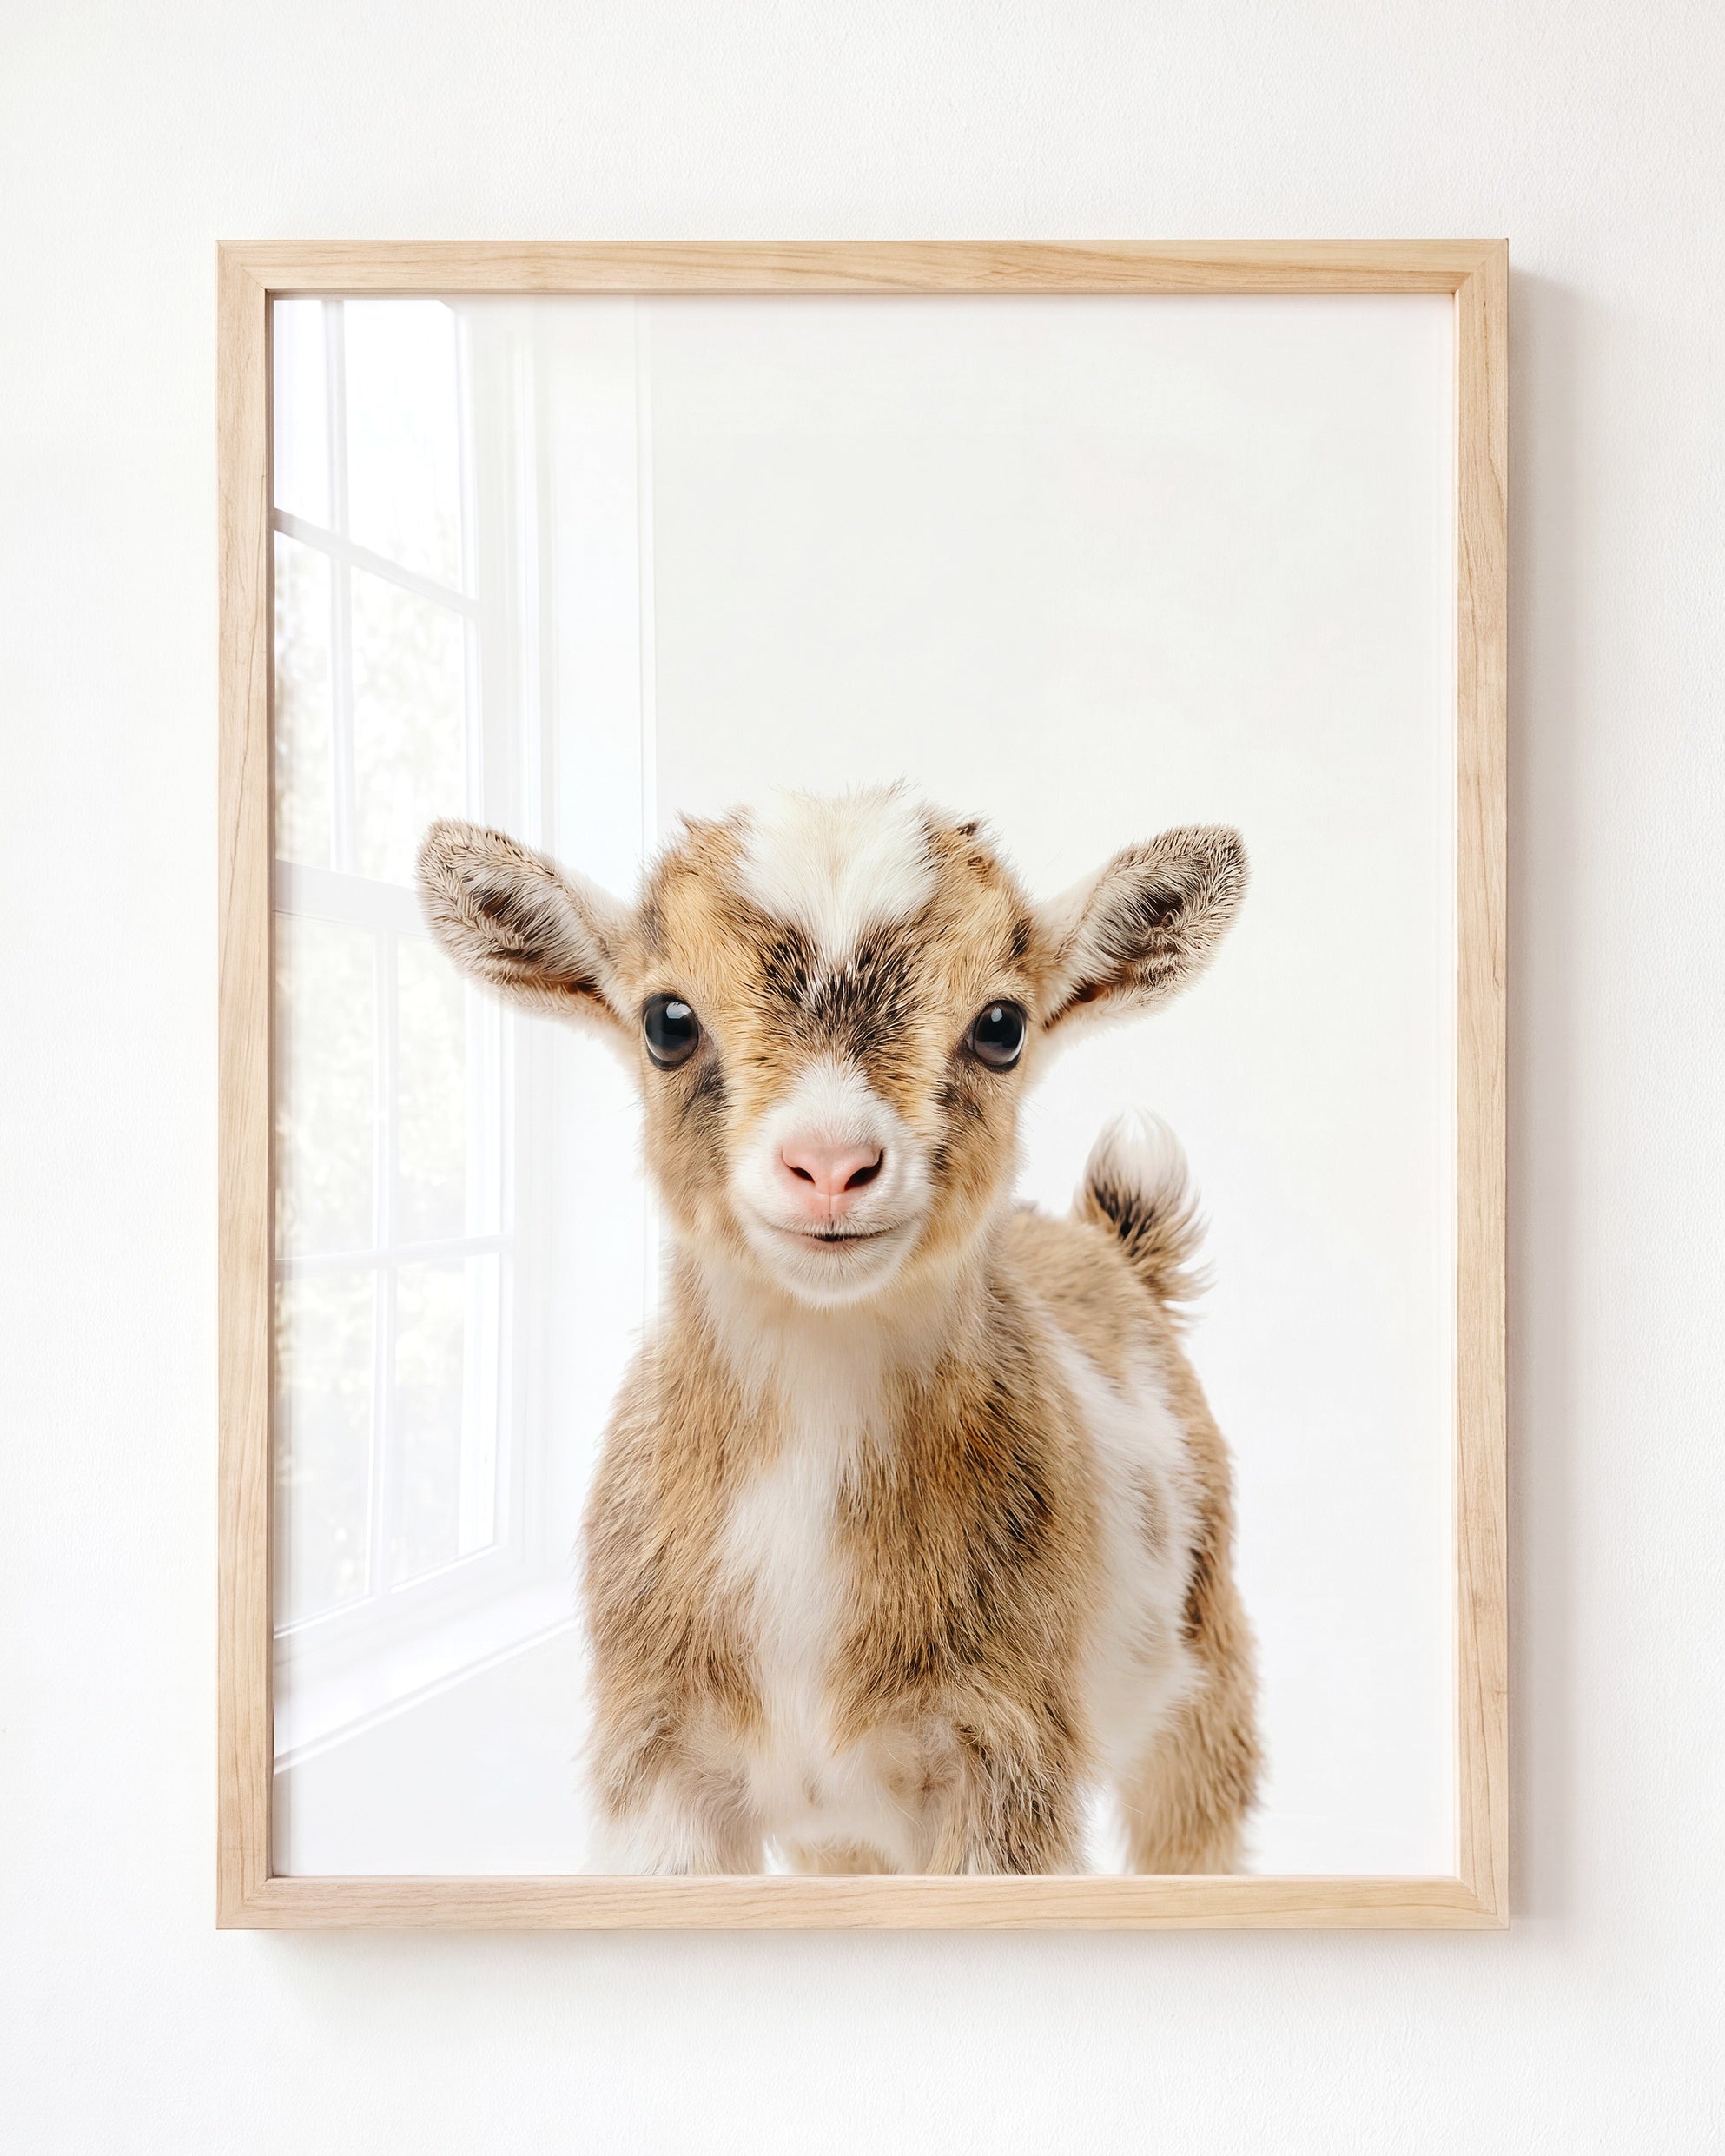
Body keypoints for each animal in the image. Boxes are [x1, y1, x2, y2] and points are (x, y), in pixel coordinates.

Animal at [418, 785, 1259, 1874]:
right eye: (667, 1020)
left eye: (1001, 1025)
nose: (830, 1164)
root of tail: (1113, 1249)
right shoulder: (657, 1764)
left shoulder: (1007, 1758)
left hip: (1207, 1675)